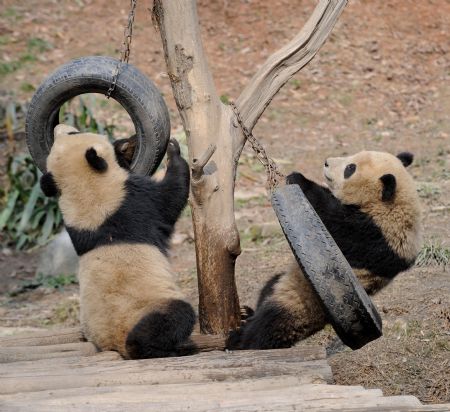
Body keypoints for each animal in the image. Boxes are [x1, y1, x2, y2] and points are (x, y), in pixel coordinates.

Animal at [41, 124, 196, 358]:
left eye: (71, 133)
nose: (60, 126)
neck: (85, 190)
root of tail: (114, 344)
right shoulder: (133, 201)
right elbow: (171, 196)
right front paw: (174, 151)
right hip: (152, 307)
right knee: (173, 318)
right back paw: (164, 348)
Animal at [229, 150, 422, 350]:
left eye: (350, 168)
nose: (326, 162)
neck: (394, 204)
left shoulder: (373, 234)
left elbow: (330, 216)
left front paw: (298, 178)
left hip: (304, 303)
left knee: (270, 325)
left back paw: (239, 340)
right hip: (289, 284)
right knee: (269, 287)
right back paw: (247, 313)